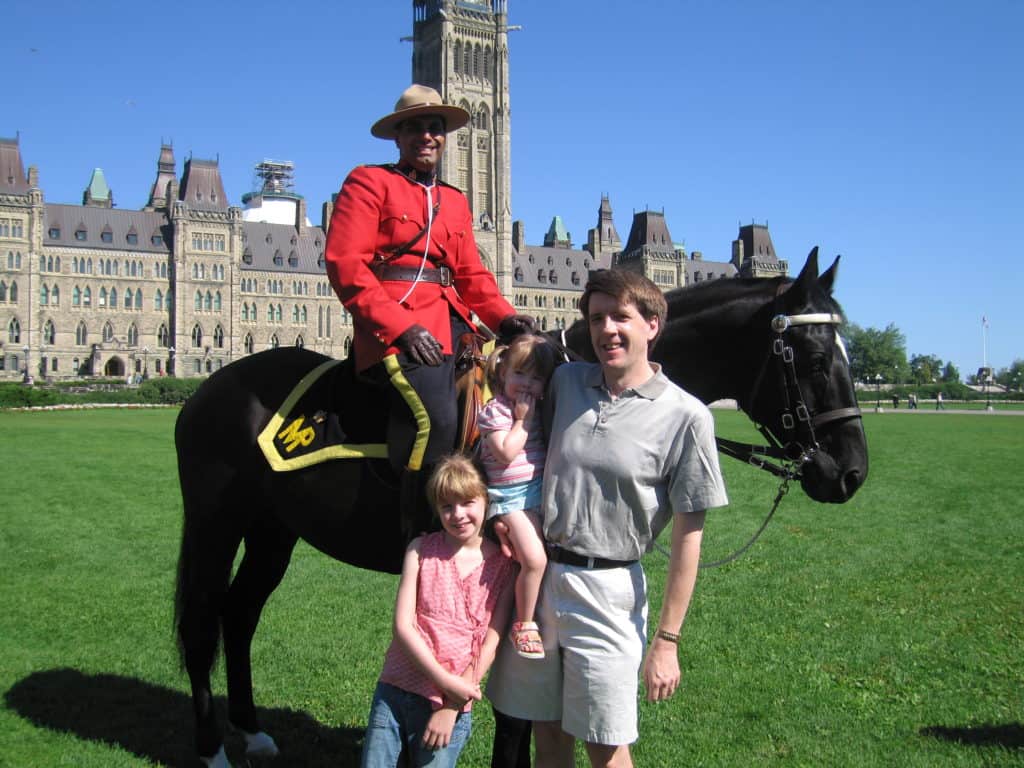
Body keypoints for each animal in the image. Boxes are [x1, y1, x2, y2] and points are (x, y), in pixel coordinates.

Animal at [174, 250, 864, 765]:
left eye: (848, 354)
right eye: (814, 358)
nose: (851, 471)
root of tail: (205, 389)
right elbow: (512, 721)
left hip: (274, 530)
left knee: (239, 614)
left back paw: (253, 731)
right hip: (215, 523)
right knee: (204, 619)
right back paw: (211, 747)